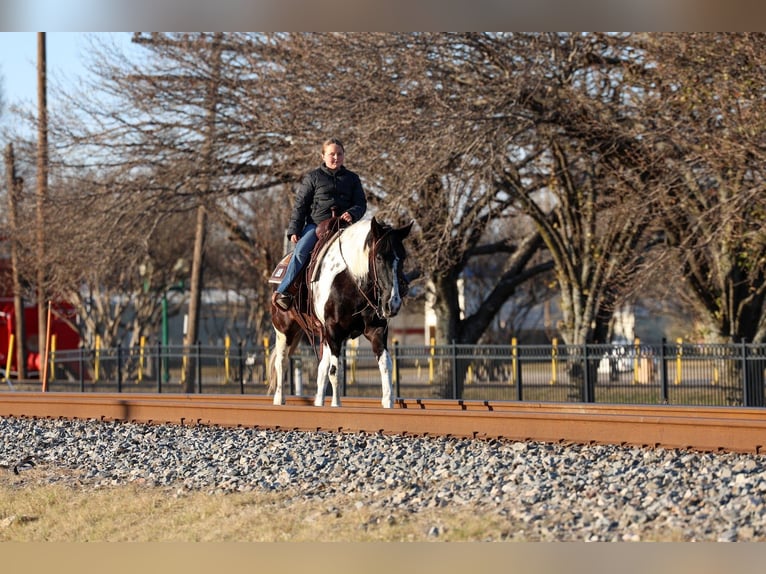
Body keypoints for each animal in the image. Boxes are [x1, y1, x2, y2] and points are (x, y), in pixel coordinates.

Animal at [268, 216, 413, 408]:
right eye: (379, 257)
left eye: (402, 258)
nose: (393, 303)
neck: (352, 280)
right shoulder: (333, 331)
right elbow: (335, 372)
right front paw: (336, 405)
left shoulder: (376, 330)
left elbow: (385, 364)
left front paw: (388, 402)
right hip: (285, 331)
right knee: (282, 363)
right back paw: (279, 399)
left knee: (321, 368)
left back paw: (318, 402)